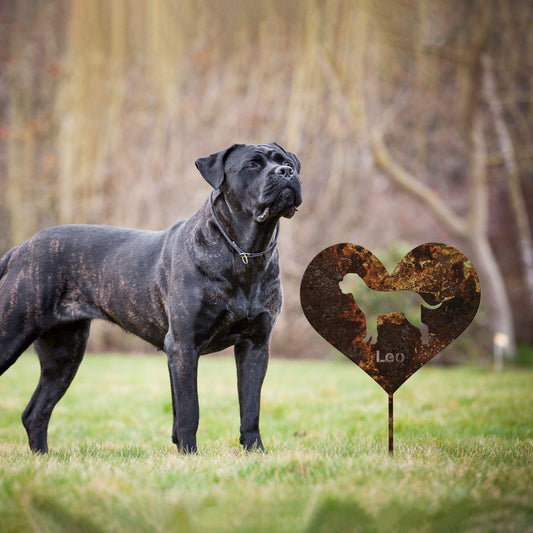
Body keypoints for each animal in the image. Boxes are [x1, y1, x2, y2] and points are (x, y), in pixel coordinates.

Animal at [0, 142, 302, 454]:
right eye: (252, 165)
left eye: (286, 161)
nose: (285, 172)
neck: (245, 252)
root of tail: (20, 248)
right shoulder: (184, 345)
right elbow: (189, 409)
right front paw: (190, 454)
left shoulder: (255, 344)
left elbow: (250, 406)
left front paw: (255, 452)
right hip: (13, 332)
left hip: (64, 353)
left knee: (36, 412)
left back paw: (44, 457)